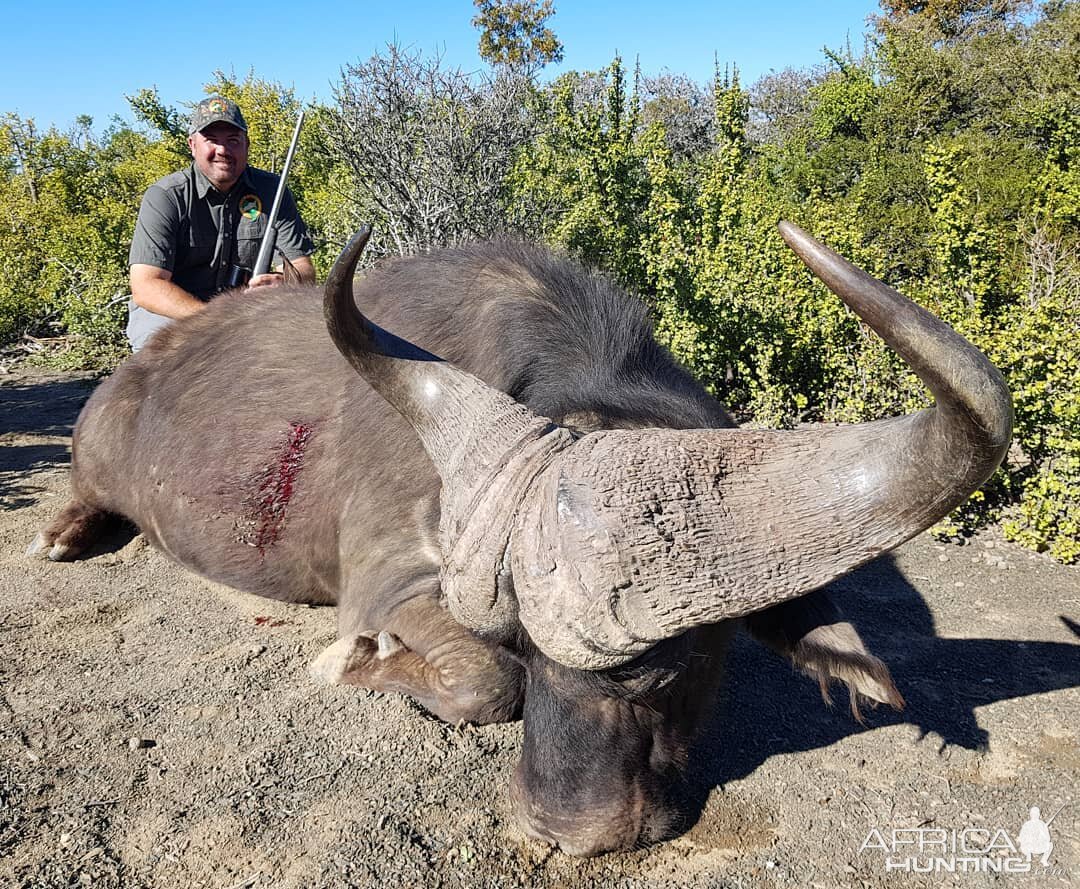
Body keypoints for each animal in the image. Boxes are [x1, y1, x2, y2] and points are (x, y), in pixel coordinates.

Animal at [31, 220, 1010, 855]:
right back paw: (65, 532)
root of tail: (127, 380)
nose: (560, 831)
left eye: (664, 668)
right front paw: (353, 661)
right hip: (94, 466)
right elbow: (481, 682)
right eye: (530, 651)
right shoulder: (389, 586)